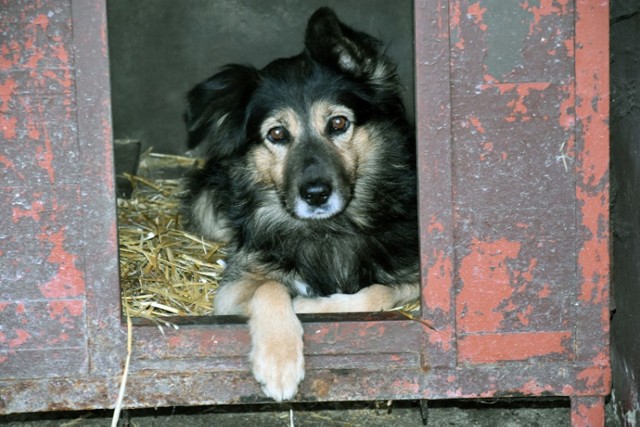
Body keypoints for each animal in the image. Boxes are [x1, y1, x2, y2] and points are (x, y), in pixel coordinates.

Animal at [181, 6, 420, 402]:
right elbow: (269, 287)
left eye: (338, 123)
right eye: (277, 134)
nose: (316, 194)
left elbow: (379, 293)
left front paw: (309, 305)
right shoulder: (233, 288)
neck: (329, 229)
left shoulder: (416, 275)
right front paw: (279, 360)